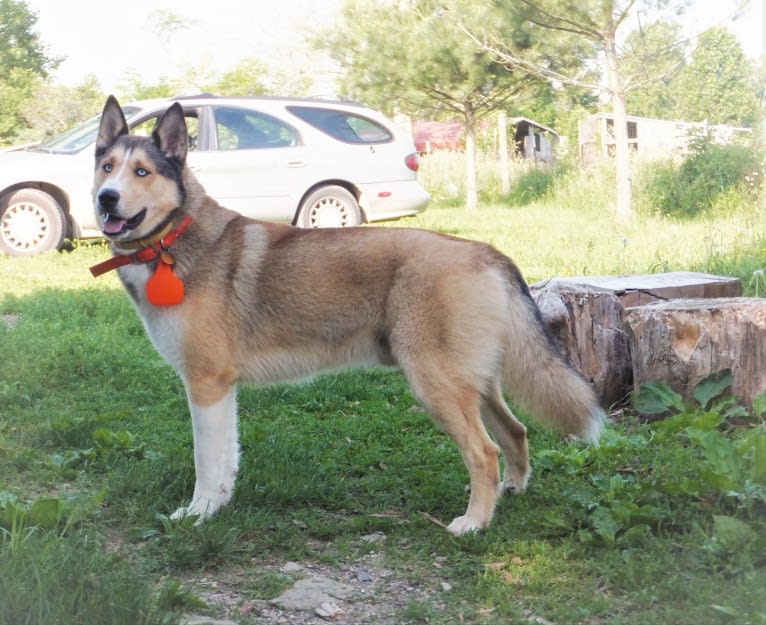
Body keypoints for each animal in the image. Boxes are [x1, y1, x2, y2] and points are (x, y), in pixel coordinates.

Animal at [91, 95, 608, 532]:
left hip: (437, 384)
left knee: (484, 452)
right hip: (474, 383)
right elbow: (226, 461)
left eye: (142, 172)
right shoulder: (221, 391)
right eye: (106, 167)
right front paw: (218, 506)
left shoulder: (206, 384)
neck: (173, 240)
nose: (105, 198)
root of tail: (488, 253)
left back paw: (474, 522)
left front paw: (197, 514)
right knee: (515, 432)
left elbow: (205, 462)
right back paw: (512, 491)